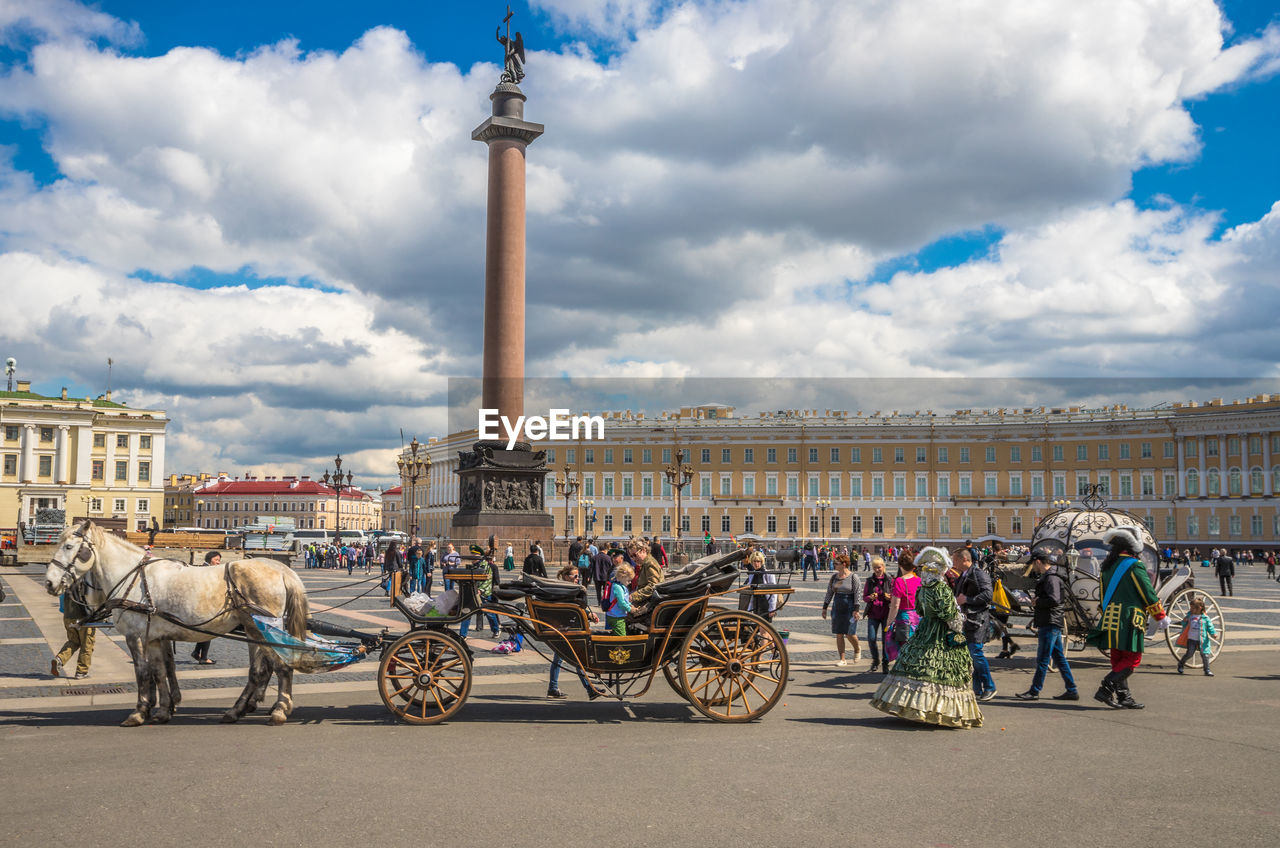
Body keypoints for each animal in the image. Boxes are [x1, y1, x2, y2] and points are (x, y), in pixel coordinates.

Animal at [45, 522, 309, 727]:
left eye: (68, 547)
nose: (49, 583)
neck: (133, 578)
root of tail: (282, 569)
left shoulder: (136, 635)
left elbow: (143, 672)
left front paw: (139, 712)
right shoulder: (155, 637)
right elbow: (161, 672)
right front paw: (163, 710)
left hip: (264, 629)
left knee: (281, 666)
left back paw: (279, 710)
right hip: (255, 629)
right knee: (261, 669)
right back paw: (238, 710)